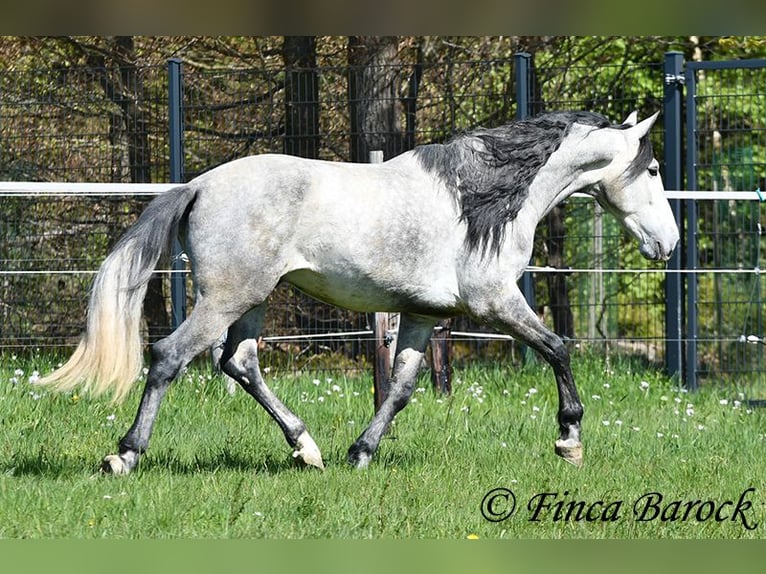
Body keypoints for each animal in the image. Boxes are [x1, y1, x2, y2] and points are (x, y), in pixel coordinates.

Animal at [37, 110, 679, 475]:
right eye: (651, 170)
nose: (668, 244)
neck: (482, 198)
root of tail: (197, 185)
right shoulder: (496, 301)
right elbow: (557, 348)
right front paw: (569, 438)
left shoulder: (421, 315)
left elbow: (400, 390)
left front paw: (361, 453)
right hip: (228, 297)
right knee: (170, 356)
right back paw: (124, 455)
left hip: (254, 301)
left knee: (240, 364)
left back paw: (308, 450)